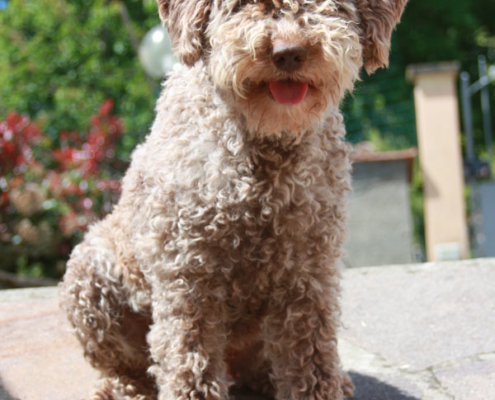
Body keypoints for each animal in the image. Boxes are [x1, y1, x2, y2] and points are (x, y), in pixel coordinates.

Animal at [59, 1, 406, 398]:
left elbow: (310, 359)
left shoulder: (309, 270)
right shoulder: (186, 274)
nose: (288, 53)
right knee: (126, 367)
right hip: (90, 272)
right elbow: (190, 363)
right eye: (240, 6)